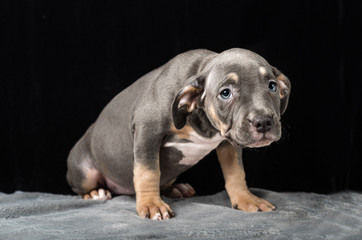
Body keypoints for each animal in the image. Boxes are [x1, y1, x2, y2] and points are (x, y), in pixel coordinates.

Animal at [66, 47, 292, 220]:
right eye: (225, 93)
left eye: (272, 86)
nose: (263, 122)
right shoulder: (147, 129)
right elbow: (148, 171)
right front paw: (151, 204)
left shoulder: (228, 143)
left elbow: (236, 173)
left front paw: (246, 199)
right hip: (84, 171)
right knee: (82, 187)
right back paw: (95, 192)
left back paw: (176, 189)